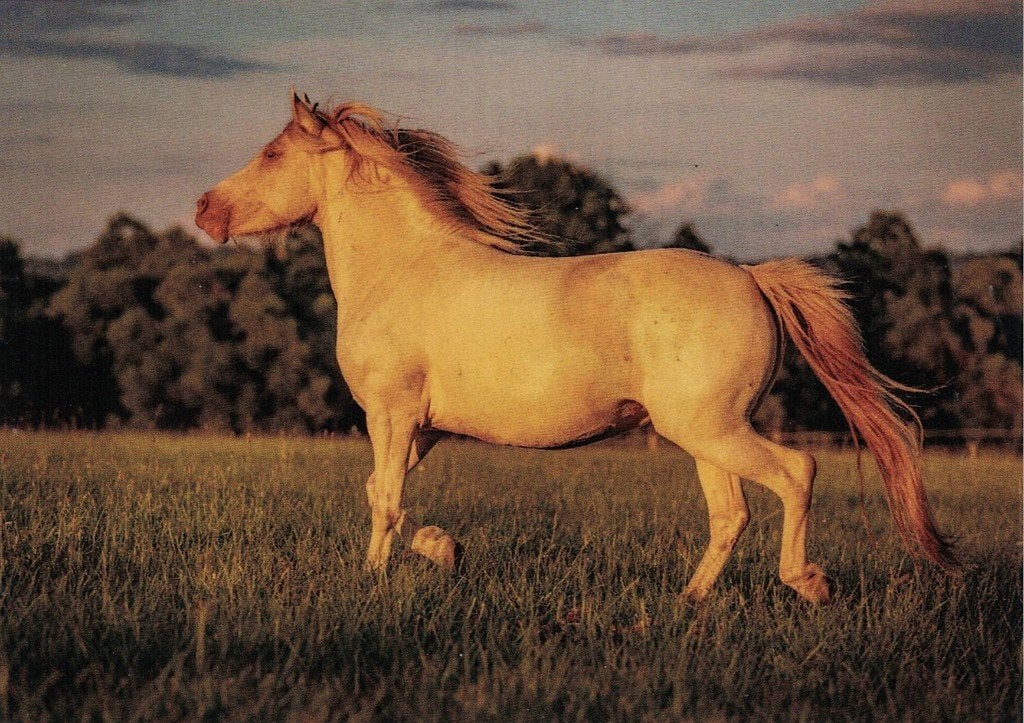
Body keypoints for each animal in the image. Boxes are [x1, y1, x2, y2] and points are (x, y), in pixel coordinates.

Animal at [195, 93, 958, 604]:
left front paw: (378, 576)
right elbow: (384, 492)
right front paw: (444, 551)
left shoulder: (393, 412)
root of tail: (752, 278)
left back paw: (807, 581)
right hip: (705, 434)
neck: (400, 269)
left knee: (796, 471)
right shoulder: (421, 426)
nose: (205, 209)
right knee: (731, 512)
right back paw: (688, 603)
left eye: (272, 154)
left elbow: (385, 499)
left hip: (709, 427)